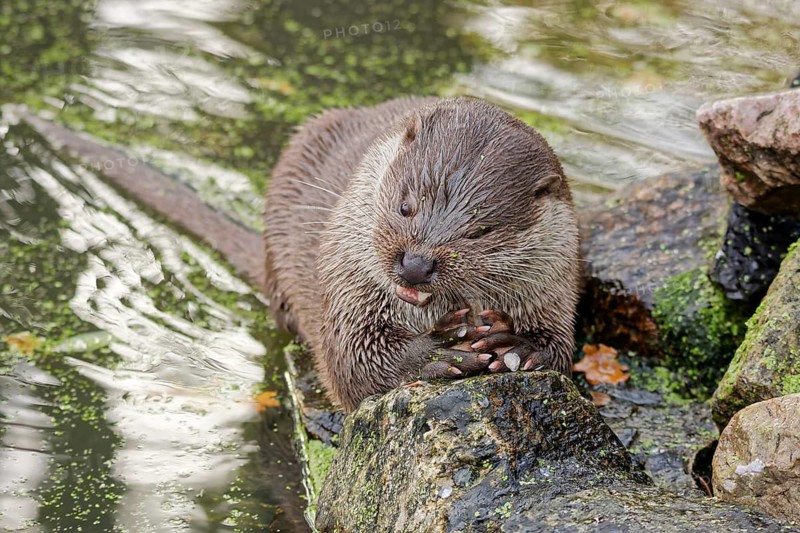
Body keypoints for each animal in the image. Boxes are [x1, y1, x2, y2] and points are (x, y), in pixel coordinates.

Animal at [264, 97, 580, 412]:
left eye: (480, 232)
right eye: (405, 207)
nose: (416, 265)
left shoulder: (553, 287)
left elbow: (561, 352)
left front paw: (516, 344)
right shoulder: (349, 291)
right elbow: (353, 363)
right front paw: (435, 351)